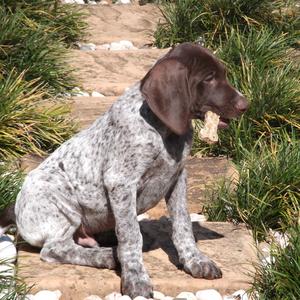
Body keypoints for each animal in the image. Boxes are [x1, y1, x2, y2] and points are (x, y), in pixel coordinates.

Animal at [0, 43, 248, 298]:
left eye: (223, 75)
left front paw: (195, 260)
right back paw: (107, 256)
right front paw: (136, 277)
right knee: (54, 249)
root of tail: (16, 210)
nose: (245, 105)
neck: (161, 130)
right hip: (59, 201)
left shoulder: (178, 178)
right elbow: (130, 235)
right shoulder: (121, 183)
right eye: (209, 78)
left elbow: (183, 225)